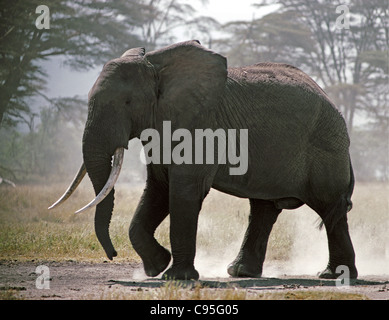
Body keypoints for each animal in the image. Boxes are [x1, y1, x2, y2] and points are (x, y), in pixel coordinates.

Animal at [49, 39, 358, 280]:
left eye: (127, 103)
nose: (111, 255)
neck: (155, 65)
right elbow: (159, 188)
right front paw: (157, 267)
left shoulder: (200, 126)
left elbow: (184, 190)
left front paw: (176, 277)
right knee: (264, 208)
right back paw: (240, 272)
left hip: (325, 146)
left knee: (329, 207)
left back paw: (334, 276)